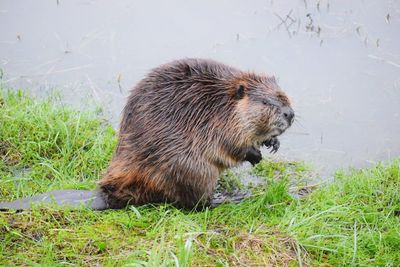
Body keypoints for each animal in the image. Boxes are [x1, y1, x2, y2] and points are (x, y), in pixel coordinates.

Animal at [0, 58, 294, 211]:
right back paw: (228, 197)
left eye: (284, 96)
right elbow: (230, 145)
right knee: (194, 202)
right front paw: (254, 154)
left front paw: (273, 142)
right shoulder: (217, 124)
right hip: (191, 168)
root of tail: (107, 195)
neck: (222, 102)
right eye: (266, 102)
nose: (290, 114)